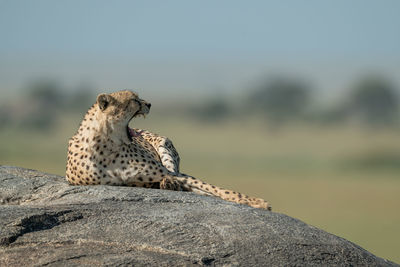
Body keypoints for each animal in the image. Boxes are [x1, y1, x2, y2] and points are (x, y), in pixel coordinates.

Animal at [66, 91, 272, 210]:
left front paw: (257, 202)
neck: (107, 144)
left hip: (165, 147)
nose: (149, 104)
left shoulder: (163, 171)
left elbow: (217, 189)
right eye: (133, 100)